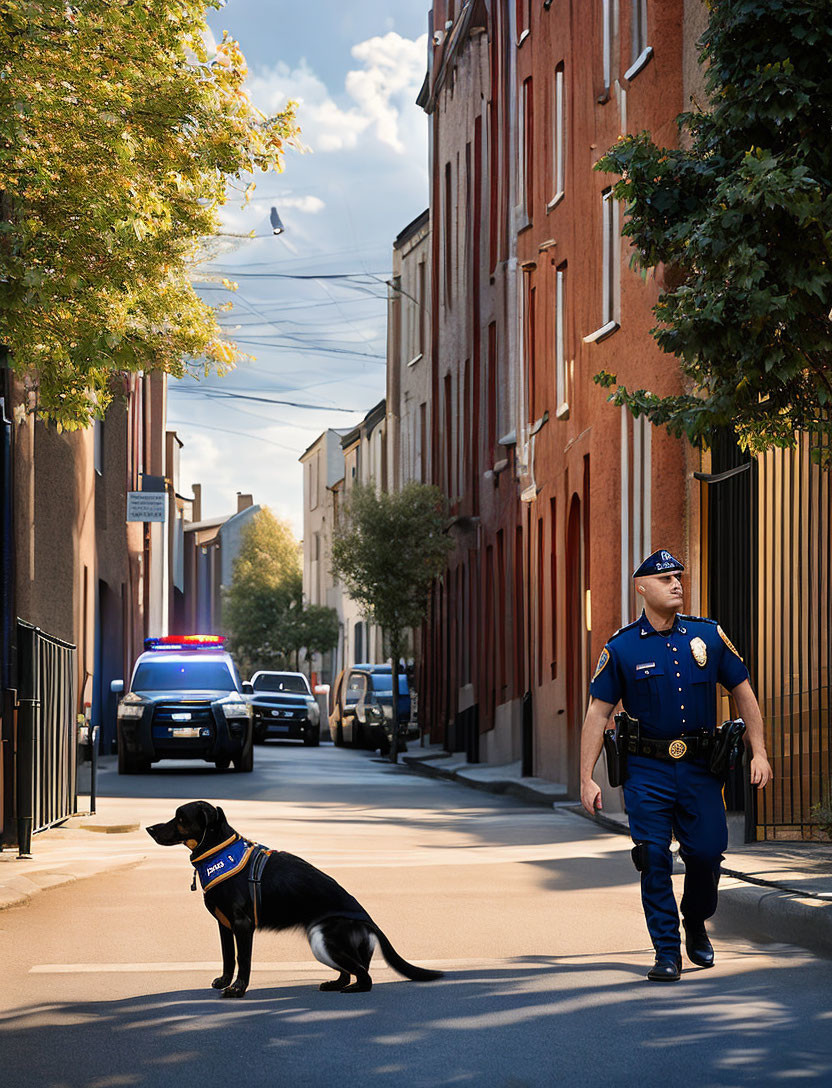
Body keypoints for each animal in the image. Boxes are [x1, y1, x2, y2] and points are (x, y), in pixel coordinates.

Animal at [144, 800, 441, 996]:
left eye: (180, 818)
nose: (149, 829)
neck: (217, 851)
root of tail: (370, 923)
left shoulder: (242, 926)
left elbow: (242, 959)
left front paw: (238, 989)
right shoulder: (224, 925)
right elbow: (228, 957)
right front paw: (225, 981)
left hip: (322, 937)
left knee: (364, 976)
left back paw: (353, 989)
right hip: (322, 943)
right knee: (350, 972)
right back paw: (334, 984)